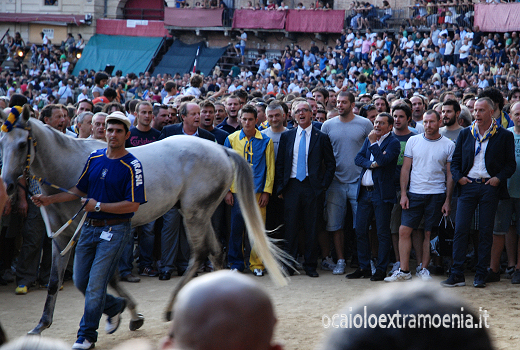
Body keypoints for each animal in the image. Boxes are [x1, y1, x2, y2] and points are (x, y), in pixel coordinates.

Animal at [0, 108, 288, 334]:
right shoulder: (62, 237)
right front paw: (42, 324)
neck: (72, 168)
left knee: (200, 254)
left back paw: (173, 309)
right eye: (2, 142)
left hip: (195, 213)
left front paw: (123, 316)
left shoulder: (89, 233)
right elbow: (55, 281)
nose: (9, 186)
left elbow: (102, 278)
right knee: (215, 252)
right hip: (198, 213)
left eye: (23, 144)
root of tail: (221, 148)